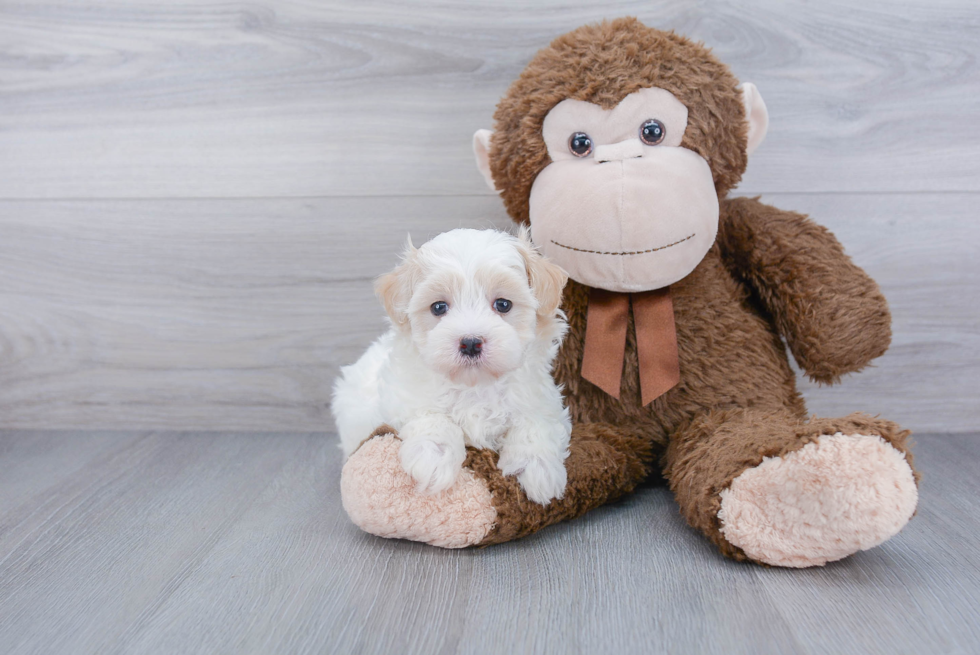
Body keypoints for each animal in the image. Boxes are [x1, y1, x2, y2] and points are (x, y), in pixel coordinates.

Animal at [334, 228, 572, 504]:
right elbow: (432, 416)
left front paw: (538, 467)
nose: (470, 342)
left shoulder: (540, 398)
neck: (475, 385)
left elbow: (536, 423)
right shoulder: (404, 397)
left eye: (503, 304)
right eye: (439, 307)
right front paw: (434, 457)